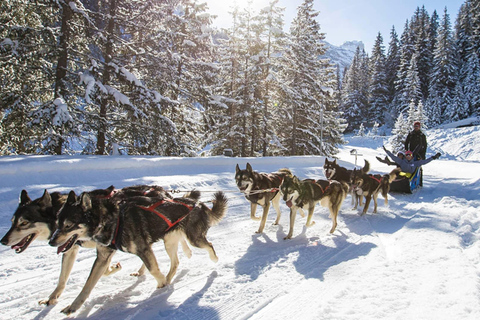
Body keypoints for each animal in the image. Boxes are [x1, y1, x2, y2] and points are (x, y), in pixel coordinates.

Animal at [49, 190, 228, 316]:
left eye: (68, 225)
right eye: (57, 222)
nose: (51, 242)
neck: (113, 219)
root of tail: (197, 203)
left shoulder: (143, 248)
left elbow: (153, 269)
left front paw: (162, 282)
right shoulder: (104, 255)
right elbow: (87, 286)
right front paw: (73, 306)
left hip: (194, 239)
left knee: (209, 245)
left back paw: (214, 258)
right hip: (169, 242)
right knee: (176, 262)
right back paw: (169, 278)